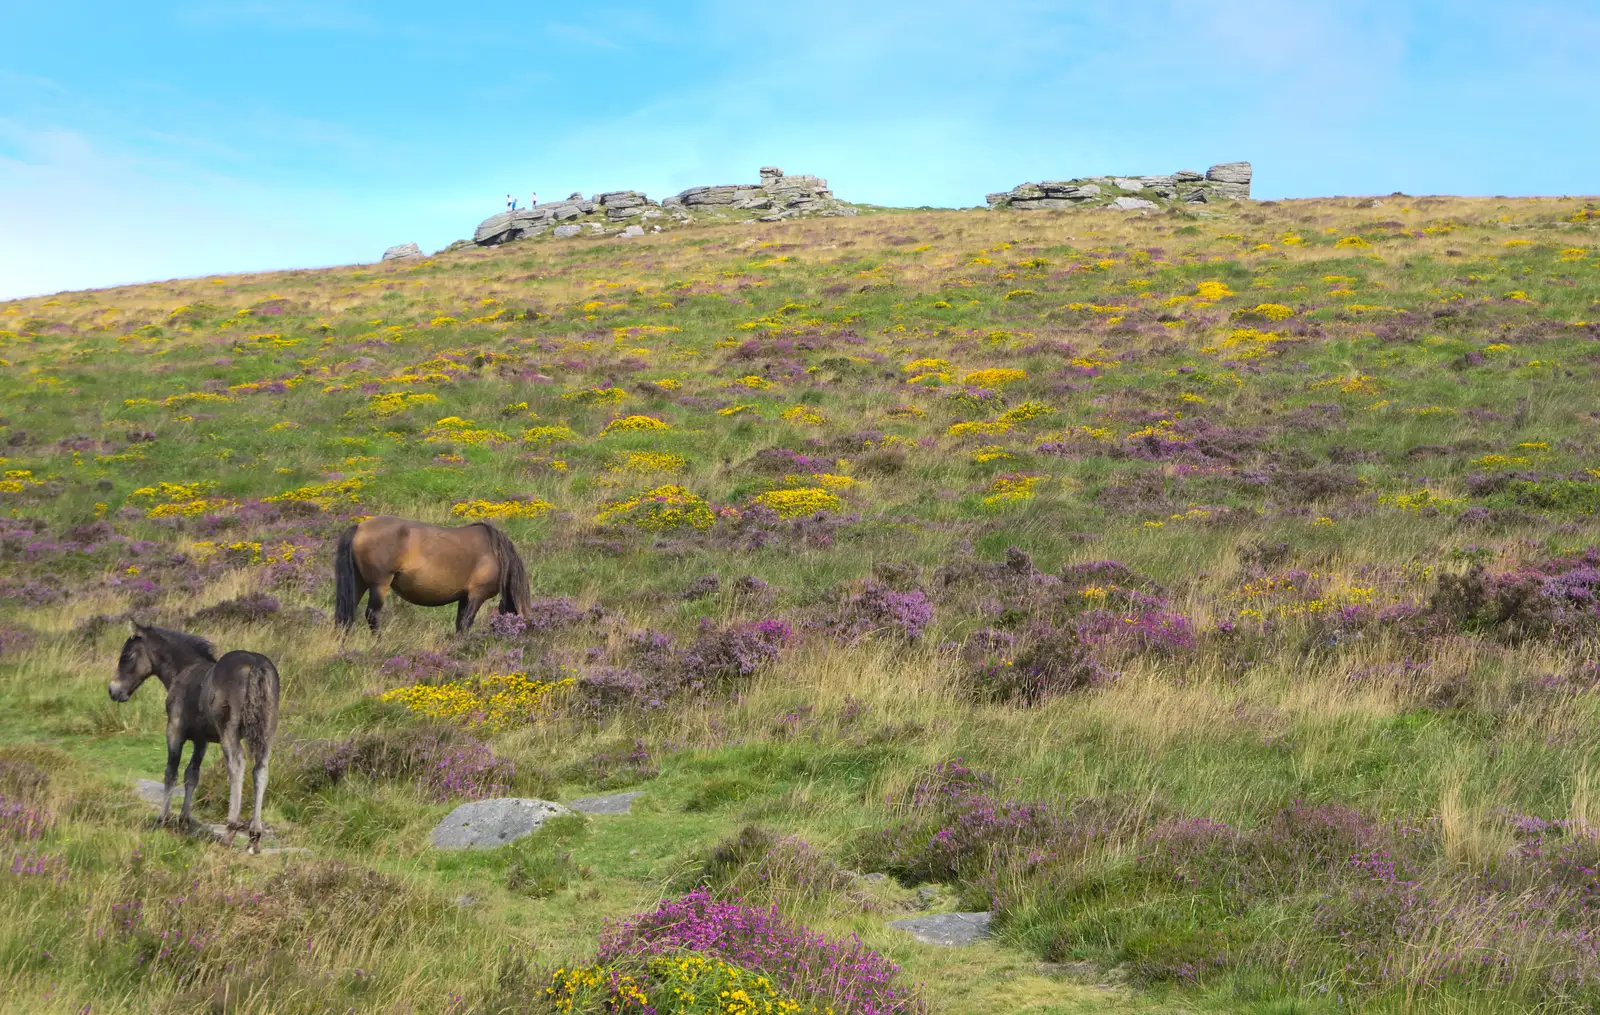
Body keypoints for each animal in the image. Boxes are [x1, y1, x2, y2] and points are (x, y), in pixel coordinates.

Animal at [331, 518, 531, 627]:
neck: (496, 553)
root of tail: (359, 527)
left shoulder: (464, 596)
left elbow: (459, 623)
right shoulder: (477, 594)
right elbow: (466, 623)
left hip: (359, 582)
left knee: (346, 615)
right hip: (379, 584)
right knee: (372, 615)